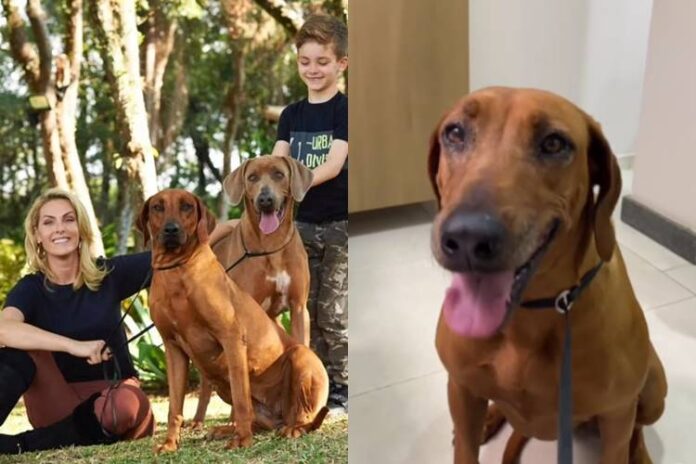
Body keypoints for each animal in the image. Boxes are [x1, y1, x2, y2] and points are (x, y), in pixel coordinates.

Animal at [138, 188, 328, 454]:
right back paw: (225, 429)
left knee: (304, 417)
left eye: (187, 206)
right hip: (220, 383)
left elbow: (241, 399)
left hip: (300, 359)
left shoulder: (231, 338)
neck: (177, 270)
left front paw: (242, 440)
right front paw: (170, 443)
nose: (171, 230)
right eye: (157, 207)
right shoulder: (172, 348)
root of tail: (283, 416)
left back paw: (292, 428)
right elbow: (174, 407)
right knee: (262, 421)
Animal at [430, 88, 668, 464]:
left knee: (638, 427)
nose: (467, 238)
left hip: (654, 388)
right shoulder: (461, 389)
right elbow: (466, 444)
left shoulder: (617, 415)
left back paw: (641, 453)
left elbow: (623, 436)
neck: (533, 308)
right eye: (455, 133)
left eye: (554, 143)